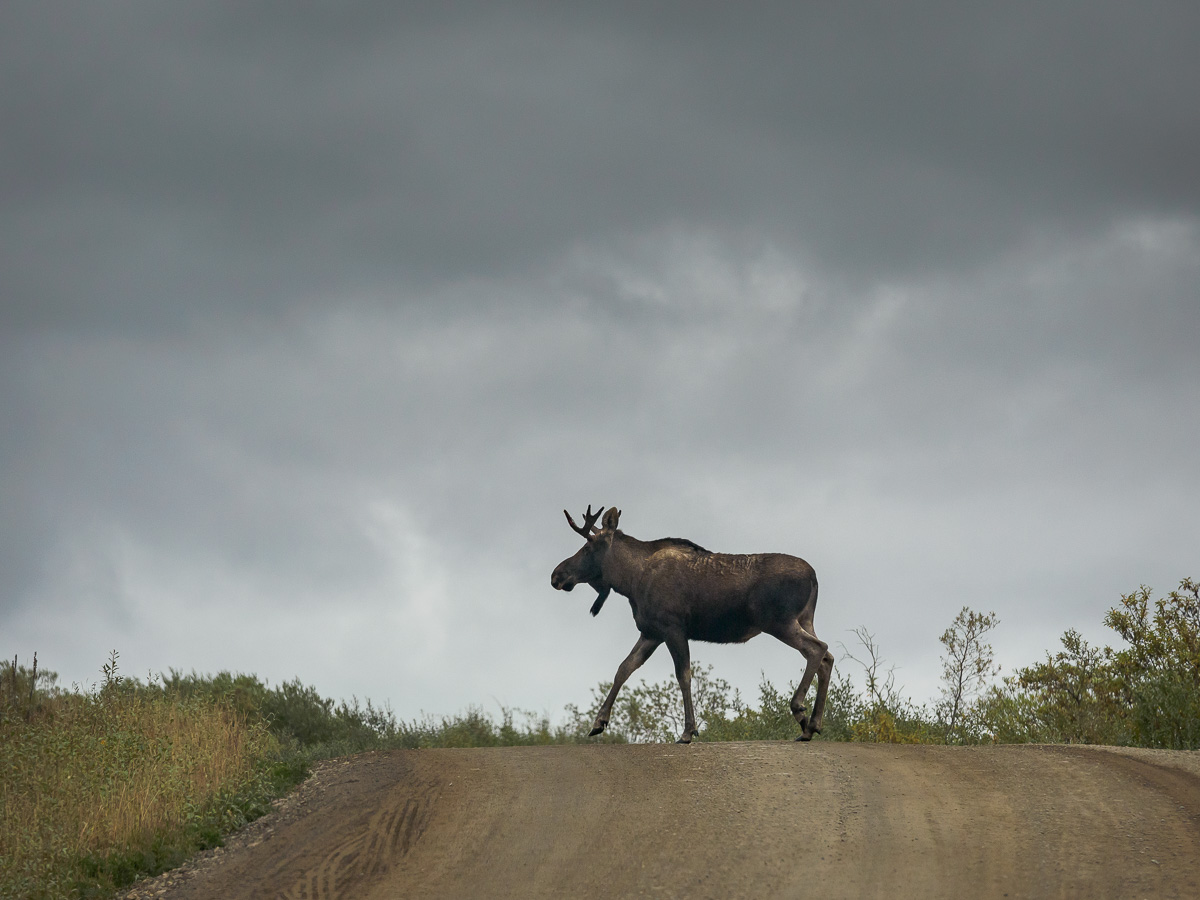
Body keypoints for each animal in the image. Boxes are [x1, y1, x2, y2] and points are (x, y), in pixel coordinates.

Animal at [551, 505, 833, 743]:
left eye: (587, 548)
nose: (556, 575)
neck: (630, 581)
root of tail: (814, 577)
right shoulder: (651, 632)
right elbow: (624, 668)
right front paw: (598, 722)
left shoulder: (672, 628)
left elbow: (683, 675)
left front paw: (688, 731)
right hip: (805, 619)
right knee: (826, 657)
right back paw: (812, 725)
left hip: (779, 621)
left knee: (817, 649)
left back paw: (800, 712)